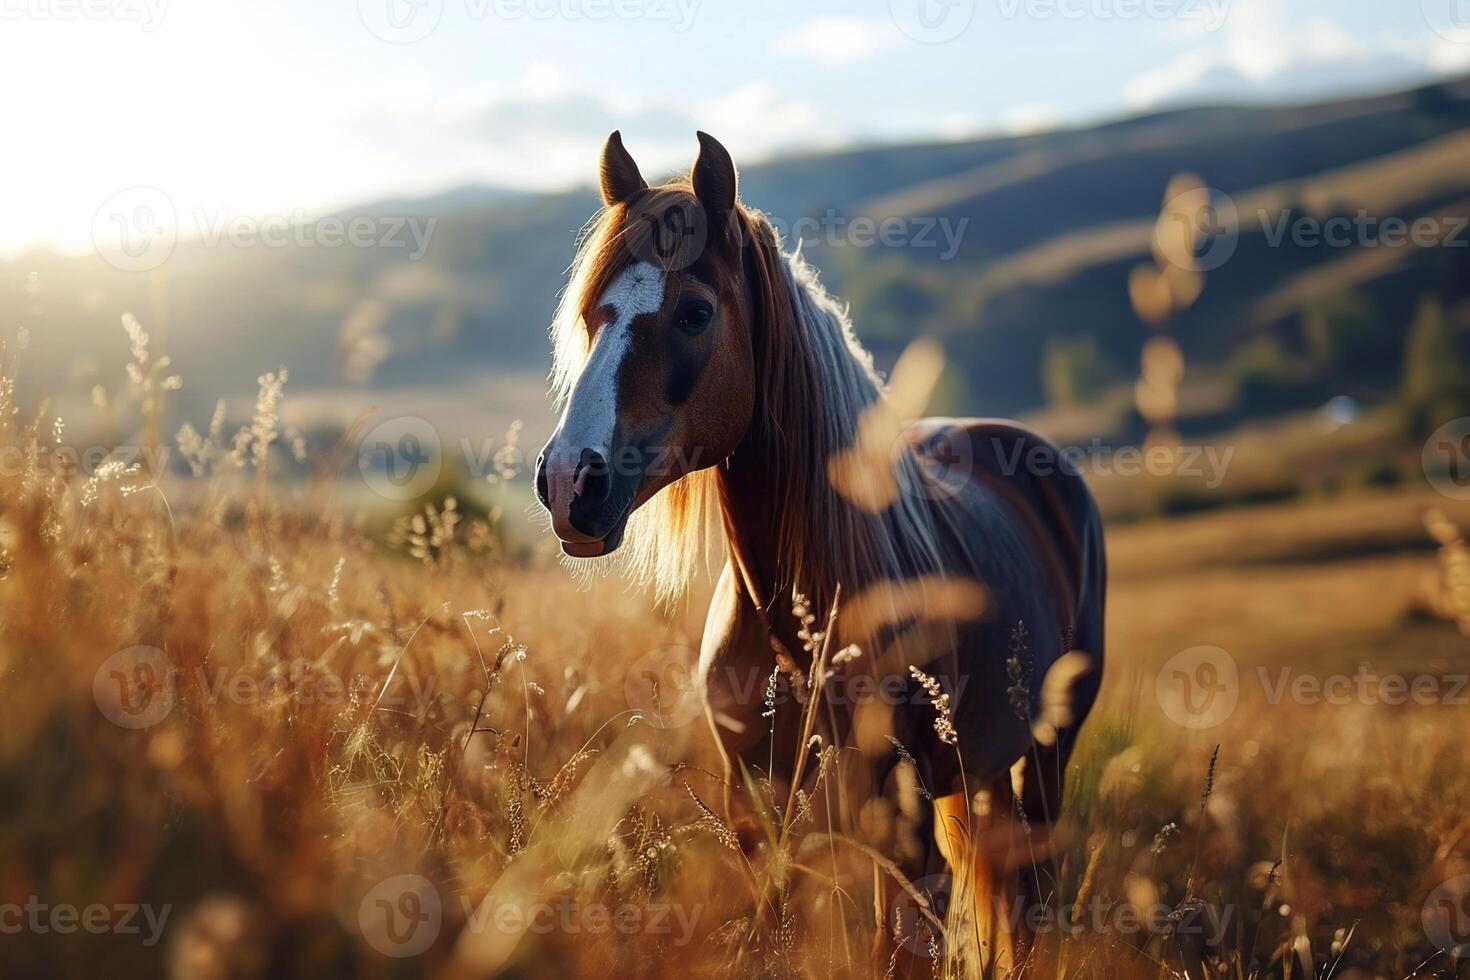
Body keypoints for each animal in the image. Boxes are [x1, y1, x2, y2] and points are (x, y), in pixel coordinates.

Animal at [538, 130, 1105, 975]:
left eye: (695, 312)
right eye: (589, 315)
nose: (570, 481)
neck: (797, 623)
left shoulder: (901, 825)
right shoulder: (760, 815)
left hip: (1043, 757)